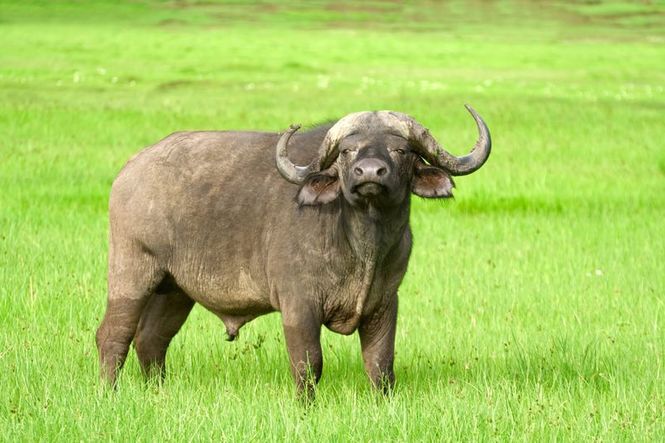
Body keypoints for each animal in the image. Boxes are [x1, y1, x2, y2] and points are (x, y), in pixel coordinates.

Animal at [96, 105, 490, 398]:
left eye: (401, 150)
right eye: (347, 151)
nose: (369, 172)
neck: (362, 244)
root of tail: (130, 171)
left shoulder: (385, 303)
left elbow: (381, 365)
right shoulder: (299, 304)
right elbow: (308, 363)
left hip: (176, 290)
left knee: (152, 339)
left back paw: (156, 391)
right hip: (131, 274)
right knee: (113, 335)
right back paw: (110, 393)